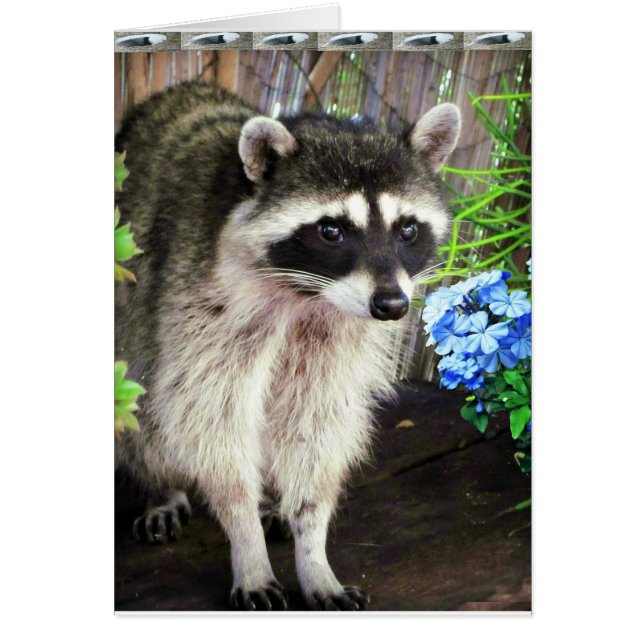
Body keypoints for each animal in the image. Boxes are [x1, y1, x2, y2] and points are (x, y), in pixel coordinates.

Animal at [115, 82, 460, 611]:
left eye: (407, 229)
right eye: (331, 230)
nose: (392, 305)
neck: (308, 296)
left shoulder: (338, 332)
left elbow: (317, 422)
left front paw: (312, 546)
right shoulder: (202, 301)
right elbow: (208, 416)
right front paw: (245, 538)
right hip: (134, 304)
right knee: (145, 394)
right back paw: (163, 486)